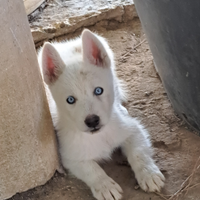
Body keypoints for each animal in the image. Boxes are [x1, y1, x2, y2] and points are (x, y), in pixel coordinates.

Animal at [38, 28, 165, 199]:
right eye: (70, 100)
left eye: (98, 90)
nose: (92, 121)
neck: (99, 136)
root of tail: (67, 43)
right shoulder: (70, 156)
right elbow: (92, 170)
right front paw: (105, 186)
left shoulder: (132, 130)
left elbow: (139, 153)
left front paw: (148, 174)